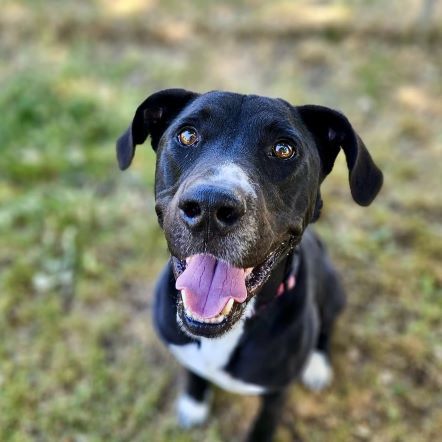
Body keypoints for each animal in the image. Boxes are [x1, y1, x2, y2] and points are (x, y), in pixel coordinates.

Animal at [117, 88, 384, 440]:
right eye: (187, 135)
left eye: (283, 149)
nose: (210, 206)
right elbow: (194, 373)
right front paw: (194, 404)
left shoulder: (276, 392)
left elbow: (264, 424)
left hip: (335, 291)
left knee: (327, 328)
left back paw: (317, 366)